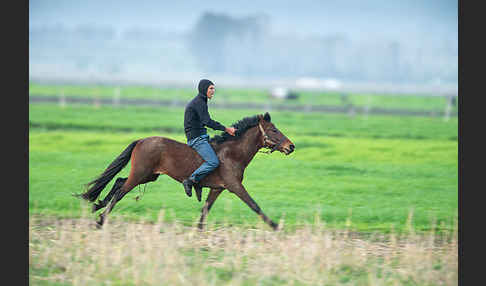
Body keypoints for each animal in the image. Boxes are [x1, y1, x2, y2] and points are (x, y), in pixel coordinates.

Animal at [78, 111, 294, 230]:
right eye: (273, 130)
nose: (291, 146)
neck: (233, 153)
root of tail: (141, 140)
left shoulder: (218, 188)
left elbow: (205, 210)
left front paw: (198, 232)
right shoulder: (234, 186)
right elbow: (254, 205)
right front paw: (276, 226)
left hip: (149, 176)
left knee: (118, 182)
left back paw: (97, 206)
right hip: (140, 174)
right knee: (120, 192)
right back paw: (100, 220)